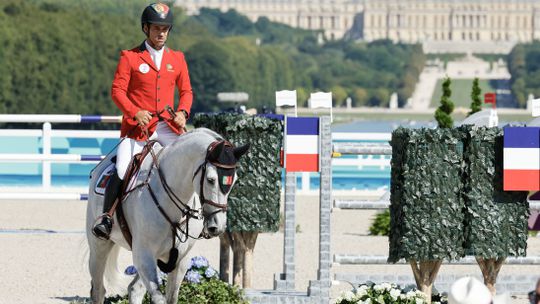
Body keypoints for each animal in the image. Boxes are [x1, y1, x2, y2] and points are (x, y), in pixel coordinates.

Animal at [86, 127, 249, 302]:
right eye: (211, 180)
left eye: (234, 180)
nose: (217, 226)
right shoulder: (144, 255)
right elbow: (159, 299)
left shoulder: (180, 260)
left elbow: (171, 297)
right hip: (99, 246)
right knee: (98, 291)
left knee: (134, 289)